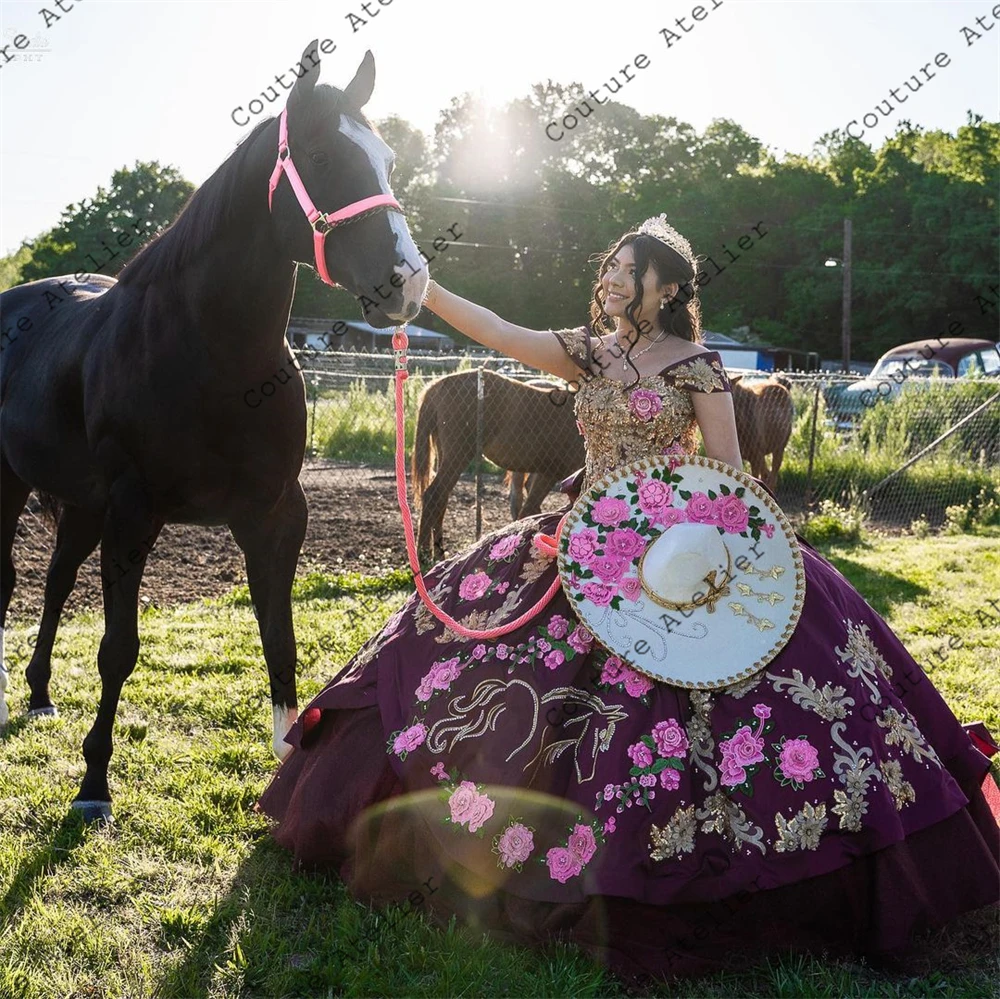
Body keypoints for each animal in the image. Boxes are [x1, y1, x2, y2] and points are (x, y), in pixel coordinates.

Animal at [0, 43, 426, 820]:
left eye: (385, 157)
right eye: (321, 154)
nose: (407, 281)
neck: (214, 355)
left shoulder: (276, 512)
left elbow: (279, 637)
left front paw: (288, 755)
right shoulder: (134, 512)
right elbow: (118, 648)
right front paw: (93, 785)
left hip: (79, 504)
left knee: (53, 582)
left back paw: (41, 695)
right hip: (13, 485)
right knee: (11, 578)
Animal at [414, 370, 584, 556]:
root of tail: (436, 386)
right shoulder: (549, 473)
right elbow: (529, 511)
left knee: (441, 498)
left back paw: (438, 551)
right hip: (457, 456)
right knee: (433, 495)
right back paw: (423, 554)